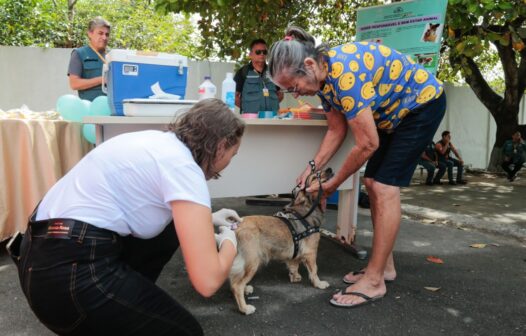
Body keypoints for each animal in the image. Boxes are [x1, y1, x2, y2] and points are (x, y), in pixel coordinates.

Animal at [230, 168, 334, 316]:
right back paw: (245, 308)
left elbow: (294, 264)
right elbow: (314, 270)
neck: (307, 208)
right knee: (236, 285)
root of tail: (235, 226)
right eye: (315, 176)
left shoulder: (296, 251)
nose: (330, 169)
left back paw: (246, 289)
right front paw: (318, 283)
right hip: (252, 261)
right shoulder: (310, 252)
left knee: (235, 280)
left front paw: (295, 276)